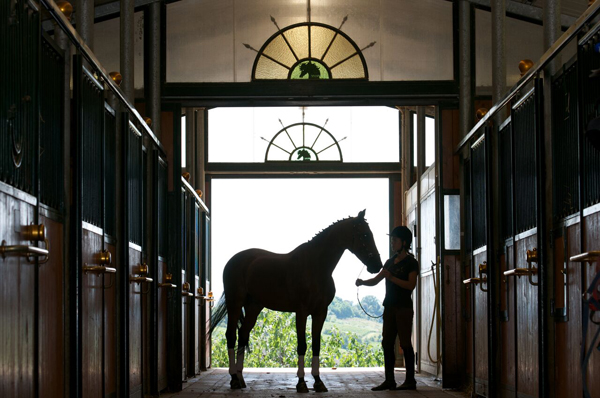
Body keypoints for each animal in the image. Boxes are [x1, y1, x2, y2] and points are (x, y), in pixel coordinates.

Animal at [209, 210, 382, 394]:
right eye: (365, 235)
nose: (376, 265)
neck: (315, 266)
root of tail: (234, 260)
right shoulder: (302, 312)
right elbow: (302, 345)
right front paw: (301, 383)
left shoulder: (320, 312)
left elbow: (316, 345)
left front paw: (318, 382)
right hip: (234, 303)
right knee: (231, 335)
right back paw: (234, 378)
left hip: (254, 307)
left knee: (243, 334)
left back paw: (241, 378)